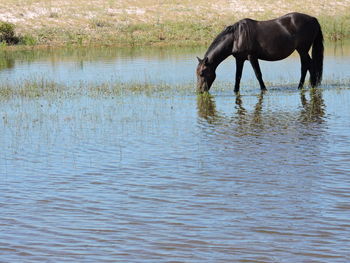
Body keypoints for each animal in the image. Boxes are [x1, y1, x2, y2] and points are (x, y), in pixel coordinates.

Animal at [196, 12, 324, 93]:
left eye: (202, 73)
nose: (200, 91)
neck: (236, 37)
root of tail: (313, 19)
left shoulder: (252, 57)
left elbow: (258, 74)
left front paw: (264, 90)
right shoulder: (239, 59)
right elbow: (238, 76)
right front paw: (235, 91)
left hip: (302, 49)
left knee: (307, 65)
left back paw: (305, 86)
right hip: (302, 50)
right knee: (308, 65)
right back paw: (307, 85)